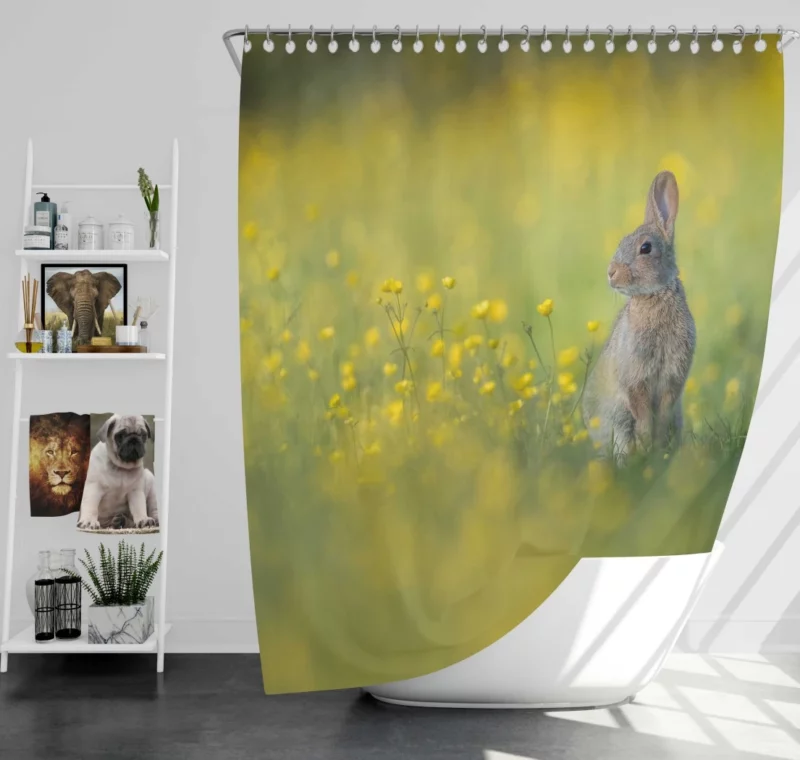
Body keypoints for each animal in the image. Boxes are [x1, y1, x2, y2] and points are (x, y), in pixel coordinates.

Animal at [584, 169, 696, 460]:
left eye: (645, 248)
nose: (610, 273)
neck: (653, 295)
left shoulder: (672, 379)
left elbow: (662, 412)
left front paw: (657, 446)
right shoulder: (635, 380)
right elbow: (643, 413)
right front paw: (649, 445)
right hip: (619, 418)